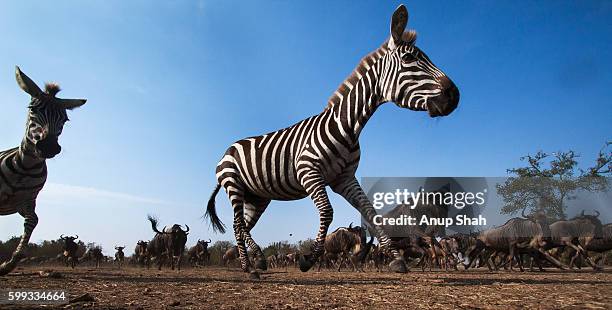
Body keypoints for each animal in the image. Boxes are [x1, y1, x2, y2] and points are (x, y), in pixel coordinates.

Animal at [0, 66, 86, 274]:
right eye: (32, 109)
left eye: (65, 119)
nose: (49, 147)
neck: (26, 167)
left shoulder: (27, 202)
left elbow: (33, 221)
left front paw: (10, 262)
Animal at [206, 4, 460, 278]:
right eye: (409, 59)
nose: (454, 96)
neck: (347, 126)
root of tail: (227, 150)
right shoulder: (309, 172)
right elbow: (327, 212)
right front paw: (308, 259)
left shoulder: (344, 179)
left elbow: (371, 213)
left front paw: (396, 259)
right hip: (234, 187)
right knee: (238, 224)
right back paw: (250, 266)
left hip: (257, 197)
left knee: (242, 226)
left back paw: (256, 263)